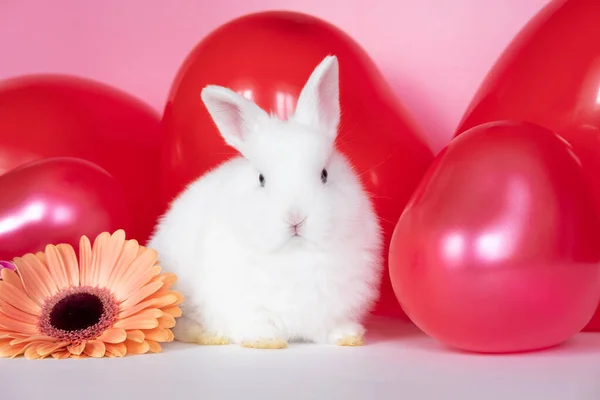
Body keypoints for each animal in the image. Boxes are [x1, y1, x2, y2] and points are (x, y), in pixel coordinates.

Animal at [150, 54, 384, 348]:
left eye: (324, 174)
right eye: (261, 178)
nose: (295, 218)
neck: (295, 255)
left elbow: (330, 327)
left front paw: (348, 337)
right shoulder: (241, 303)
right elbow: (253, 324)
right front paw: (266, 341)